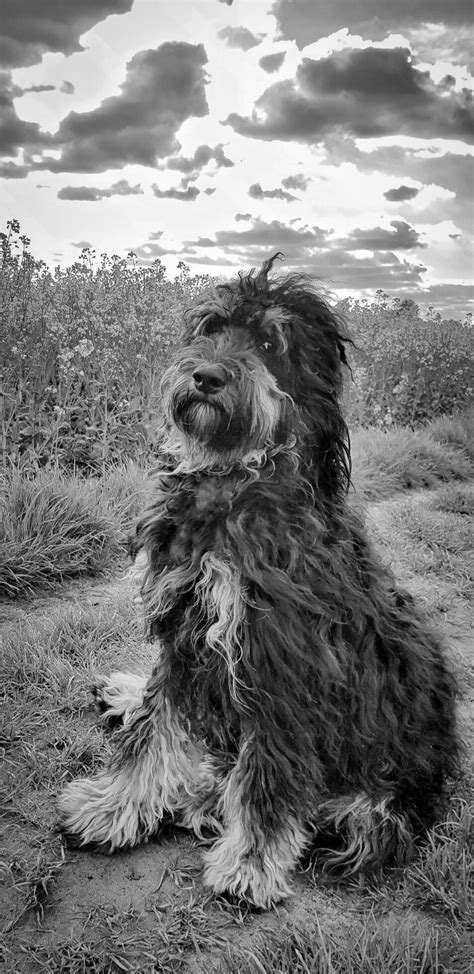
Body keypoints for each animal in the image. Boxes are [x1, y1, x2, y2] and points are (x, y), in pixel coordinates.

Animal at [57, 255, 458, 912]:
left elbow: (267, 772)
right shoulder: (185, 626)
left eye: (270, 343)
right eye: (213, 327)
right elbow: (155, 730)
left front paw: (249, 863)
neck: (233, 485)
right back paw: (129, 700)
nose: (206, 377)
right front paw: (112, 806)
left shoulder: (278, 659)